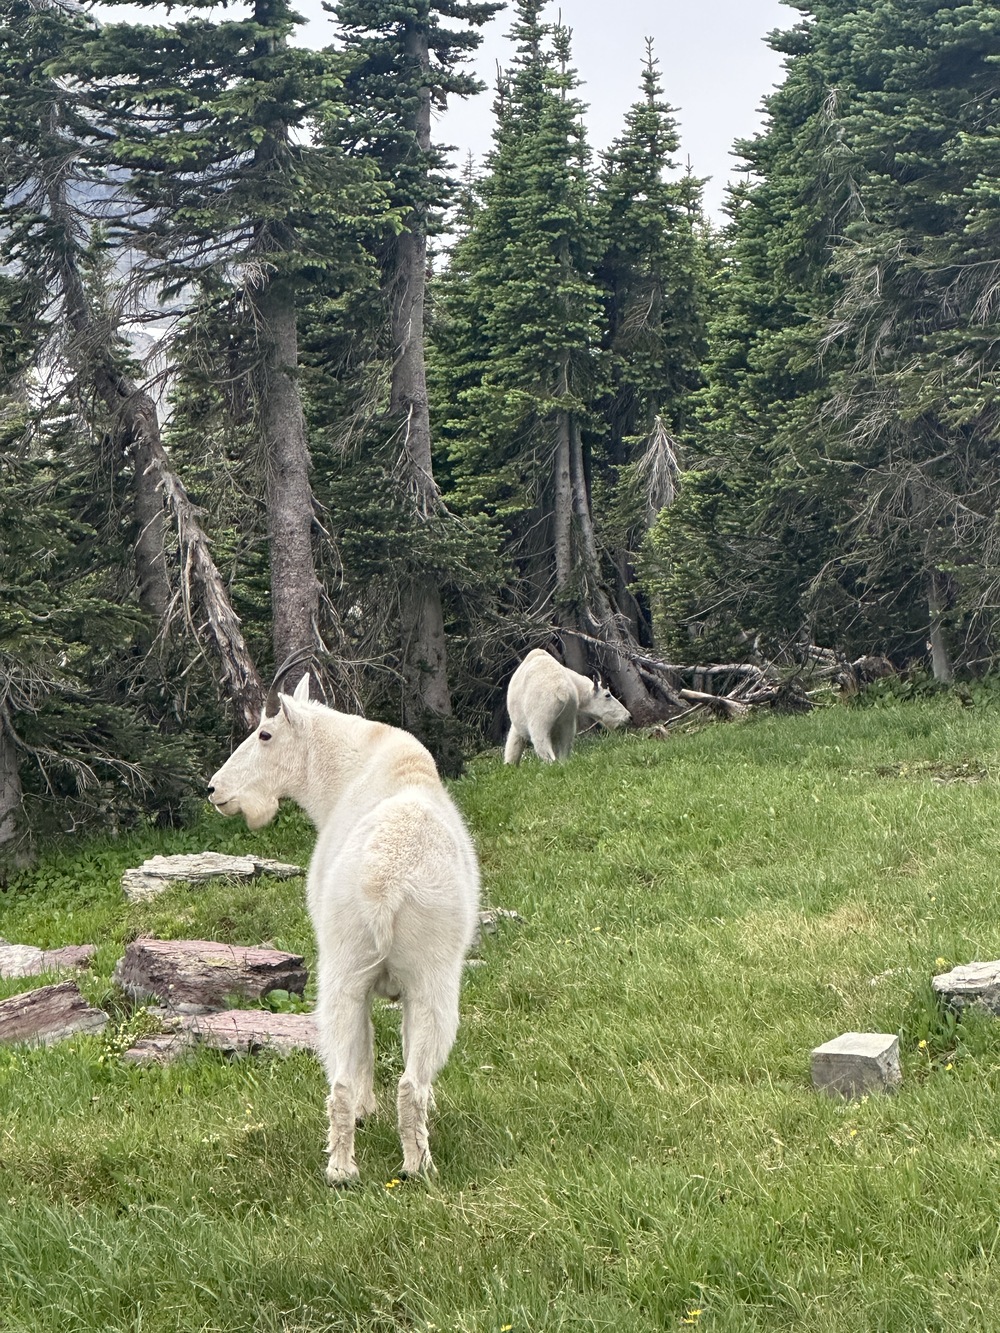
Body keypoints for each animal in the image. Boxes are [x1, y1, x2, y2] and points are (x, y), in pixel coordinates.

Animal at [207, 669, 480, 1184]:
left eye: (265, 734)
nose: (215, 791)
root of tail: (385, 881)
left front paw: (367, 1112)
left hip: (352, 966)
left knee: (349, 1078)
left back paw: (351, 1168)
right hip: (415, 974)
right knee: (399, 1079)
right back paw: (403, 1163)